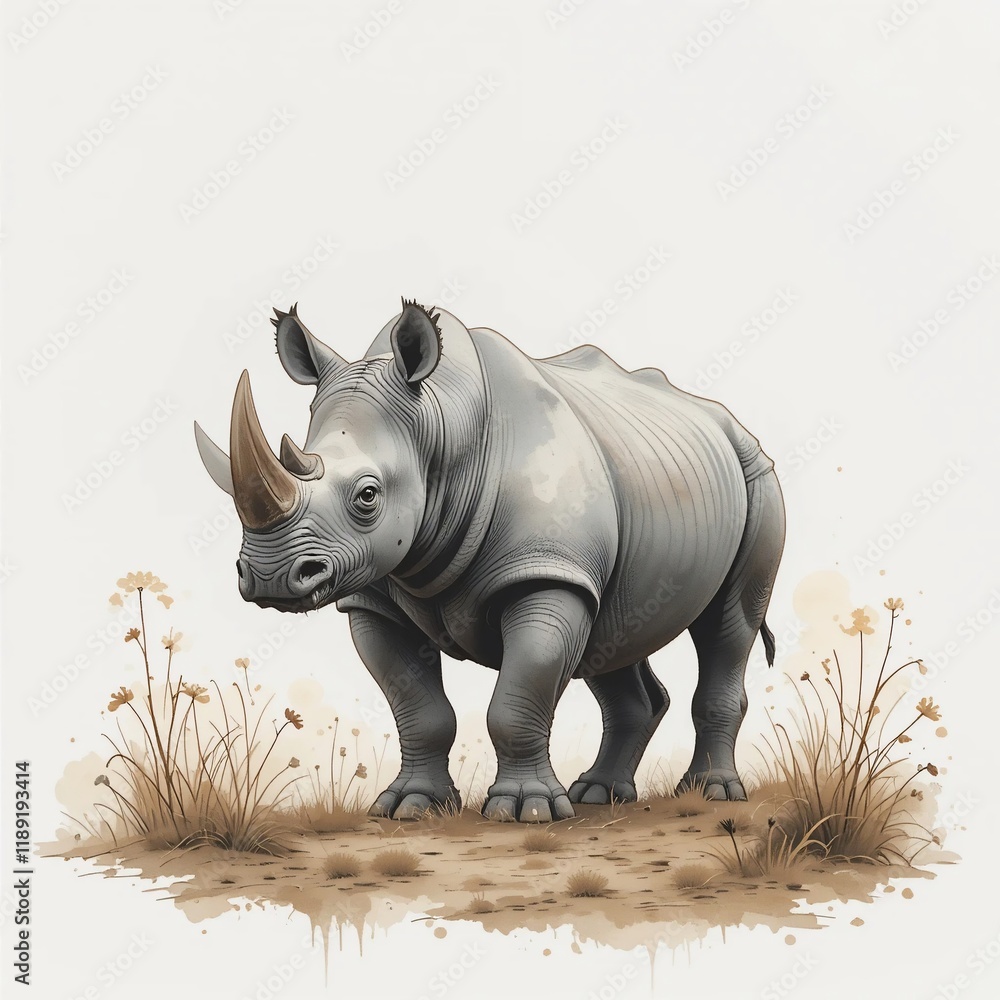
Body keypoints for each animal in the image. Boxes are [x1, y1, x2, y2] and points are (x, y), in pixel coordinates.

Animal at [195, 300, 785, 822]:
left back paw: (709, 793)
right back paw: (600, 795)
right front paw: (411, 807)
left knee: (727, 626)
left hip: (756, 474)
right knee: (614, 630)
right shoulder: (373, 596)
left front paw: (526, 811)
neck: (440, 425)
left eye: (367, 496)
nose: (269, 576)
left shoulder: (546, 573)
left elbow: (520, 693)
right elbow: (418, 708)